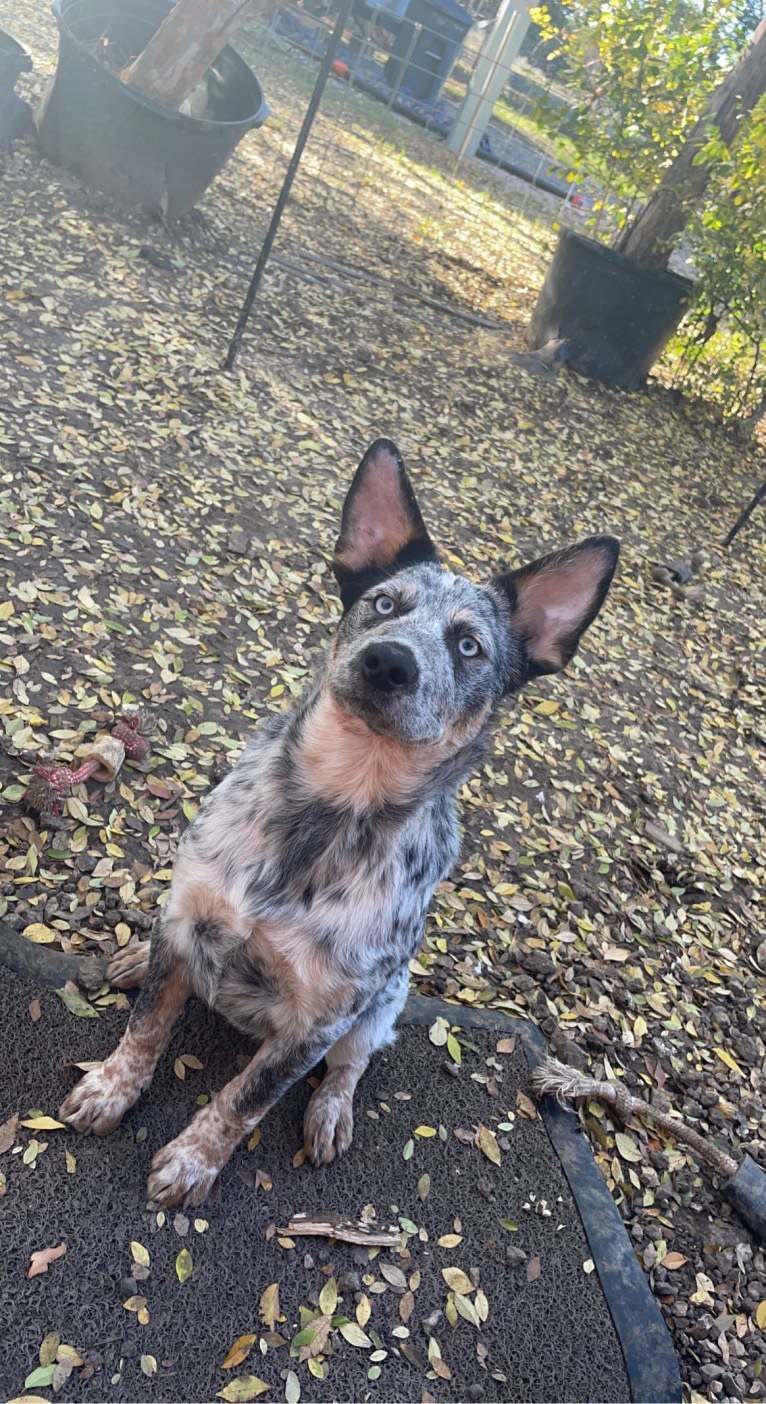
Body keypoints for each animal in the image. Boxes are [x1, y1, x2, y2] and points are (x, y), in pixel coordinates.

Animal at [59, 438, 614, 1207]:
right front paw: (111, 1087)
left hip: (383, 1003)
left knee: (351, 1065)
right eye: (383, 604)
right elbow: (146, 1027)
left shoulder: (320, 1019)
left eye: (469, 645)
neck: (327, 807)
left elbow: (246, 1097)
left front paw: (195, 1161)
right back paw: (134, 959)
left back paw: (330, 1112)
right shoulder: (191, 913)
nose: (389, 660)